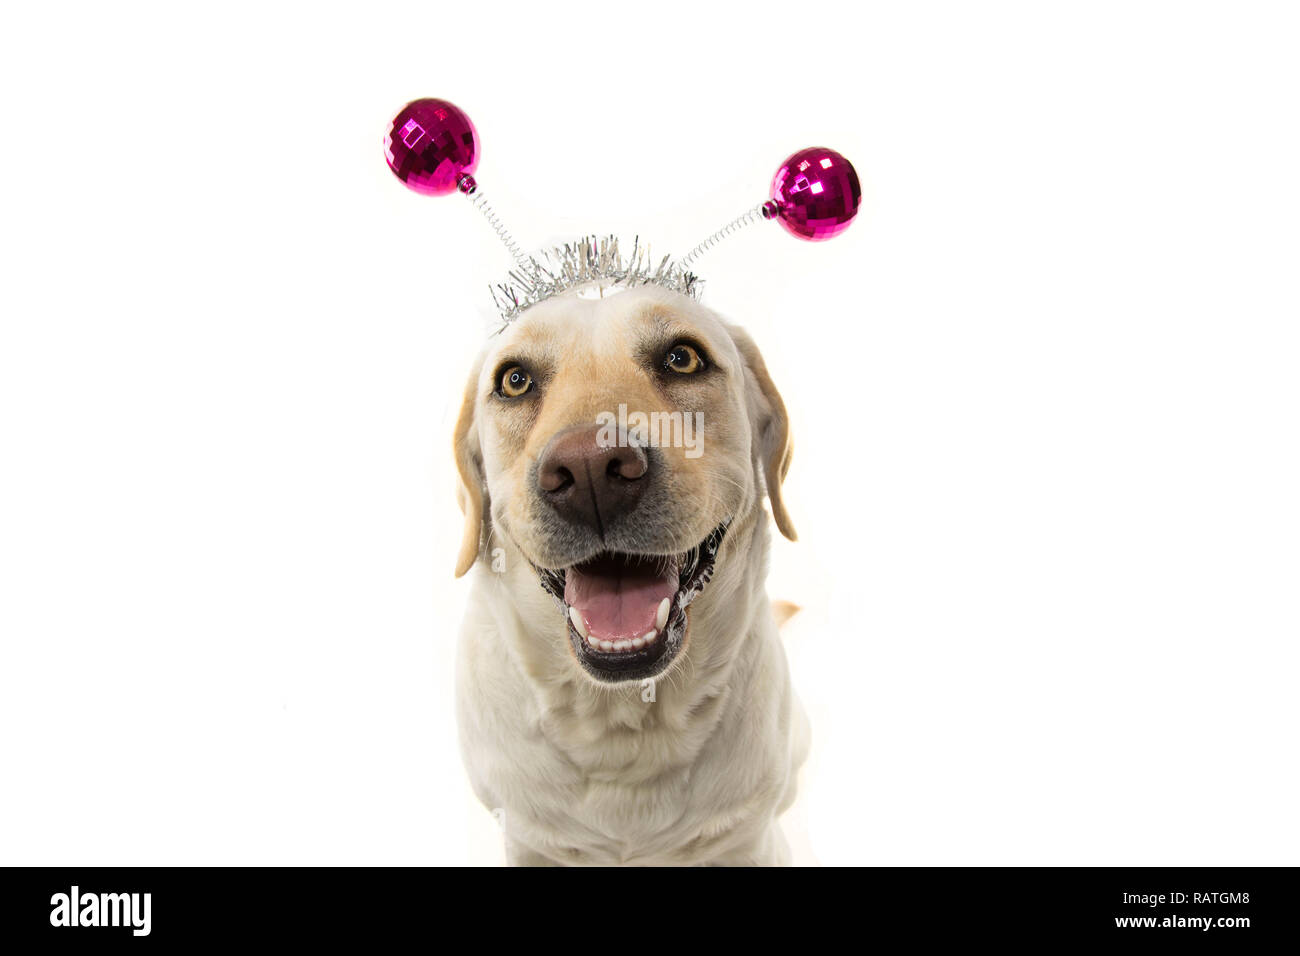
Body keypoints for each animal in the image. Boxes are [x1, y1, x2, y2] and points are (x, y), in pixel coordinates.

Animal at [452, 283, 806, 868]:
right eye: (514, 380)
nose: (591, 471)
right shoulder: (528, 838)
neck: (622, 717)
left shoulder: (746, 838)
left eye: (682, 358)